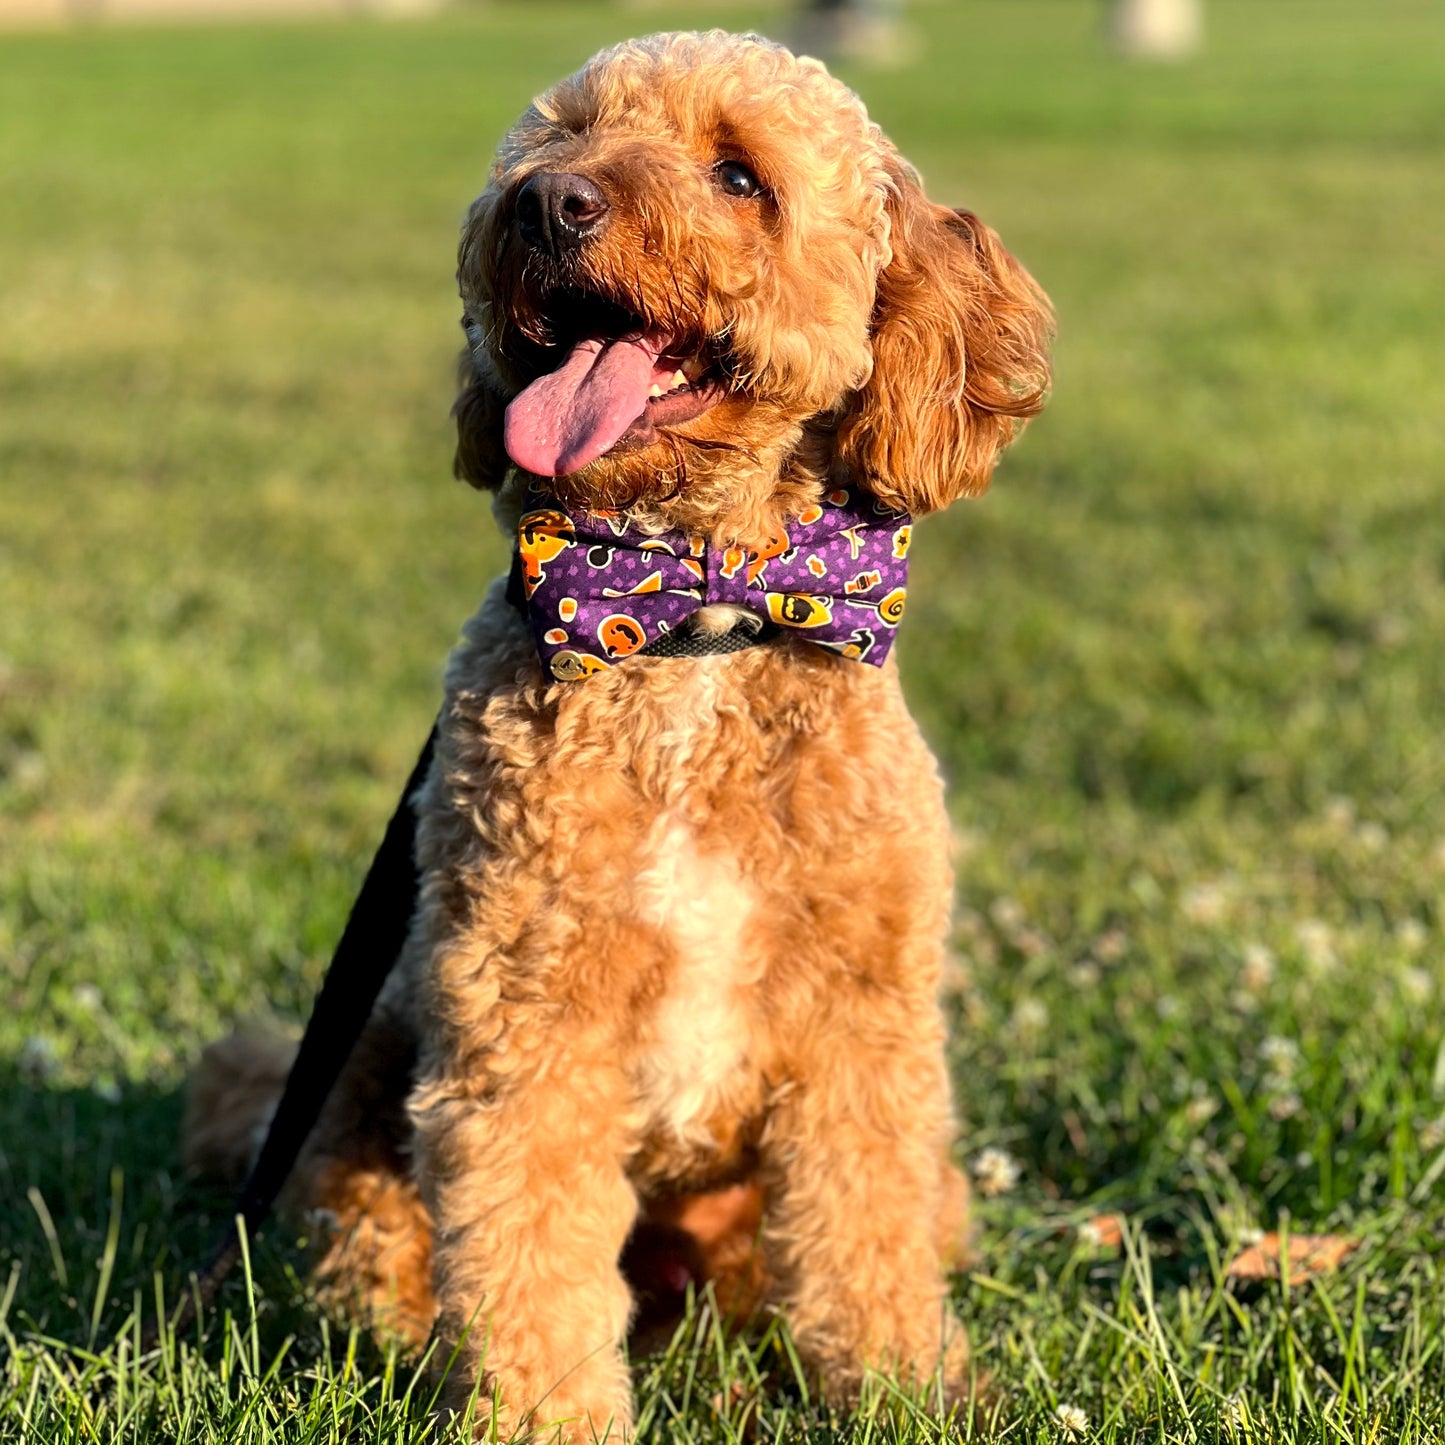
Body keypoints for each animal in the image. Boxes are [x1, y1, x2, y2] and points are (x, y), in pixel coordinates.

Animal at [186, 28, 1057, 1439]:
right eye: (562, 137)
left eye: (738, 175)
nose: (546, 204)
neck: (687, 620)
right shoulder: (522, 1015)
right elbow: (525, 1251)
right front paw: (548, 1414)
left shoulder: (861, 1026)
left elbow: (862, 1234)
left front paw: (903, 1389)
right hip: (370, 1047)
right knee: (365, 1231)